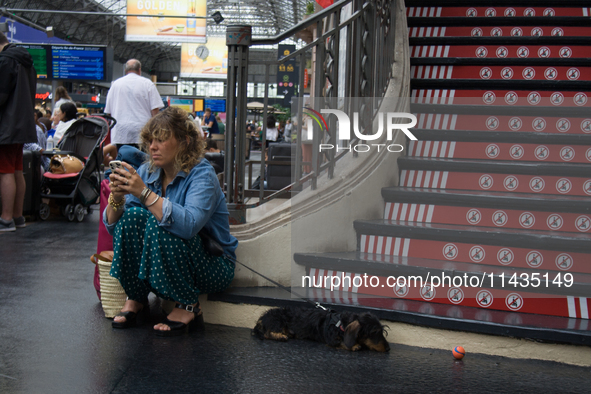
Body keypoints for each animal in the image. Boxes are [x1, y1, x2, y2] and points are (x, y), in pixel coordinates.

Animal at [252, 306, 390, 352]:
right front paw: (354, 345)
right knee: (267, 333)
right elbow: (341, 342)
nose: (388, 349)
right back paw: (280, 336)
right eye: (374, 332)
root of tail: (262, 318)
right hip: (278, 320)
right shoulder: (332, 339)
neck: (341, 324)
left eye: (382, 331)